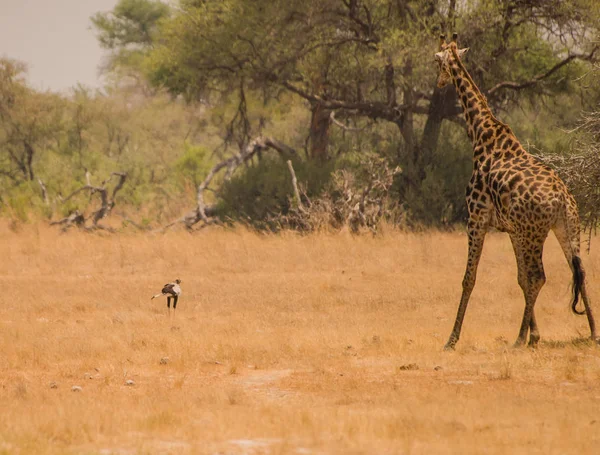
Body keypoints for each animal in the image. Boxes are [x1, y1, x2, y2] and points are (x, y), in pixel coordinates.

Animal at [434, 34, 596, 350]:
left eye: (437, 62)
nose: (438, 83)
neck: (481, 133)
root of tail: (562, 200)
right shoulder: (511, 229)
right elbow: (520, 278)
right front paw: (535, 334)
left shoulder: (476, 218)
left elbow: (469, 278)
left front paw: (451, 339)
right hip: (566, 228)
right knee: (578, 273)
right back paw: (593, 333)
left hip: (534, 233)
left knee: (540, 276)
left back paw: (519, 338)